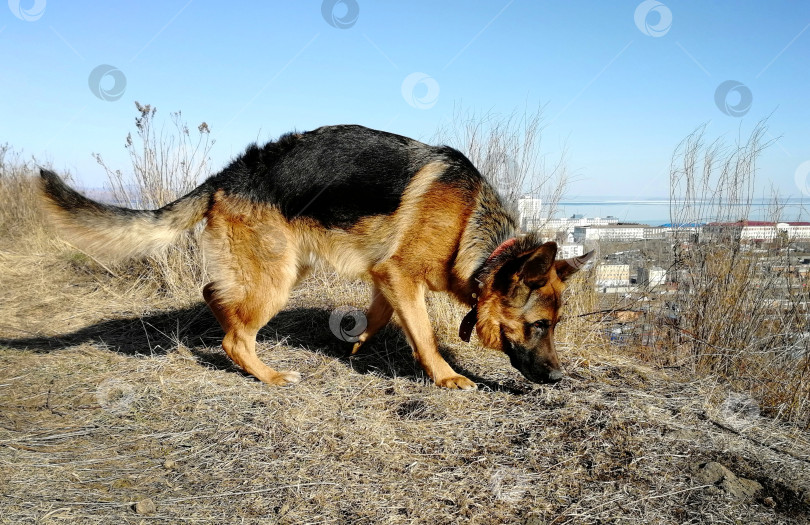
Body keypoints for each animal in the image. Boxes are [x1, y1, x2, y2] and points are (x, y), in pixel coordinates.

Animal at [38, 126, 592, 388]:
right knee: (234, 335)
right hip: (277, 277)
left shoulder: (385, 278)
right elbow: (425, 334)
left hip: (283, 265)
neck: (473, 231)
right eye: (539, 326)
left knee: (215, 295)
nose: (559, 378)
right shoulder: (399, 273)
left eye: (554, 327)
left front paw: (358, 345)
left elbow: (383, 314)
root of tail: (227, 174)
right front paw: (446, 376)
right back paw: (268, 375)